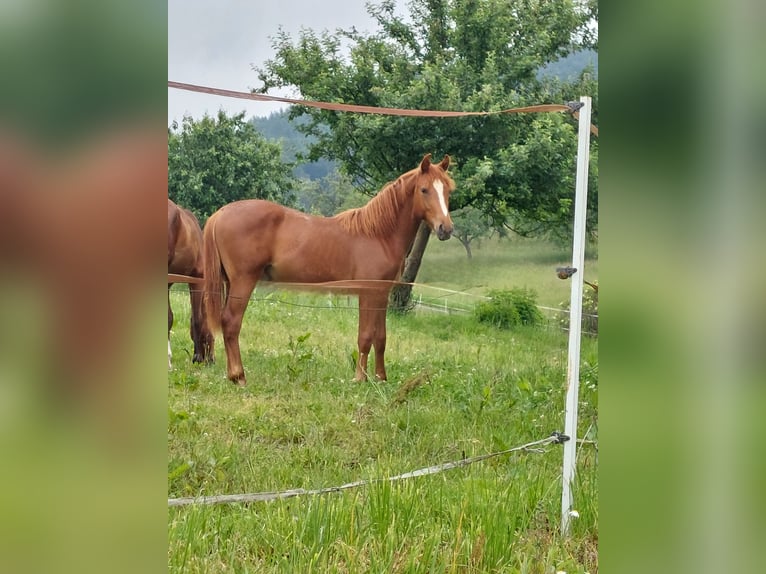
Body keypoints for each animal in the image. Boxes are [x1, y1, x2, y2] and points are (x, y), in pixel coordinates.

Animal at [204, 154, 456, 388]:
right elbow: (365, 336)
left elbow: (381, 338)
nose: (446, 229)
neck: (378, 234)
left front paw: (381, 378)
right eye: (424, 189)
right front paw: (360, 379)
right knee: (231, 322)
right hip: (243, 281)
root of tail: (220, 213)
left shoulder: (381, 295)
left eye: (448, 190)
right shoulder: (368, 293)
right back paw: (239, 377)